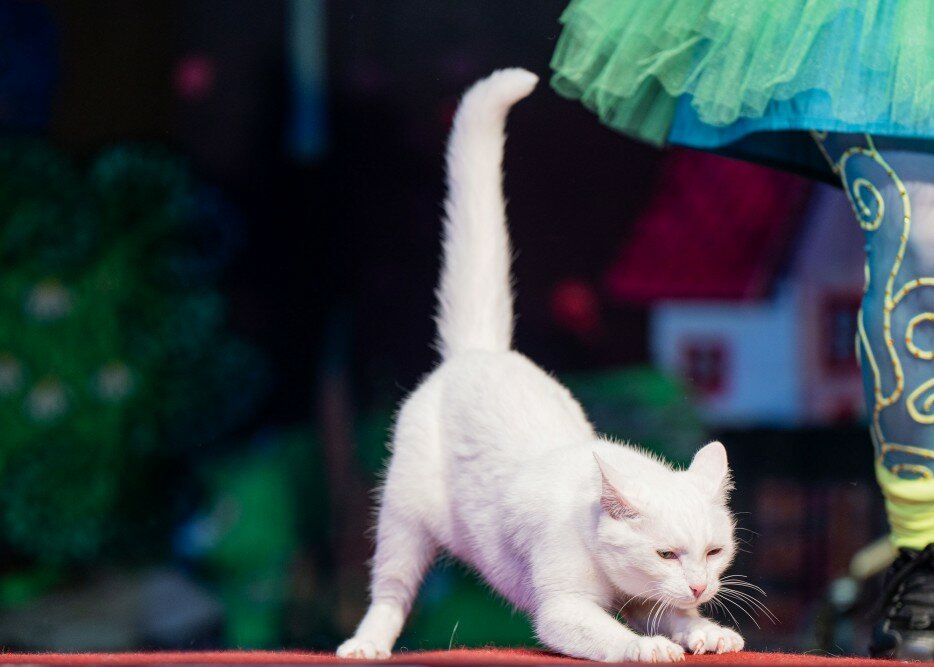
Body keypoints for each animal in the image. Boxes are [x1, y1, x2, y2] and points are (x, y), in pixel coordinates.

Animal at [336, 68, 744, 663]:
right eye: (667, 554)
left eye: (714, 552)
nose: (698, 585)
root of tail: (480, 352)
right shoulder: (562, 611)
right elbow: (612, 634)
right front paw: (648, 647)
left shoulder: (649, 601)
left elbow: (672, 616)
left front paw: (704, 629)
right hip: (402, 521)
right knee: (390, 589)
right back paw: (367, 642)